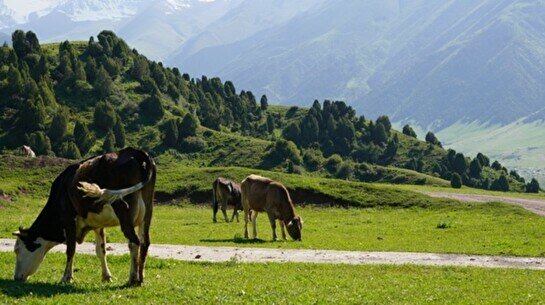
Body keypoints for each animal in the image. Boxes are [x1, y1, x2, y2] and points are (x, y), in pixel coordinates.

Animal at [12, 147, 156, 284]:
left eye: (17, 250)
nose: (16, 277)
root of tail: (136, 152)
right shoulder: (98, 224)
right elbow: (101, 250)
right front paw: (106, 276)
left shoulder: (68, 218)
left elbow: (71, 249)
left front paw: (66, 277)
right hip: (147, 213)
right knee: (144, 242)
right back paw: (141, 279)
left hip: (124, 213)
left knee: (134, 242)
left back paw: (133, 278)